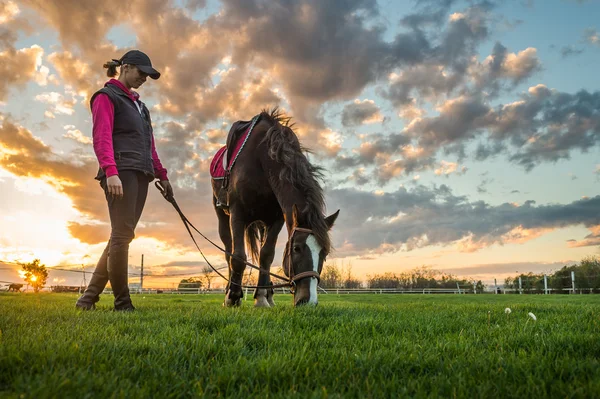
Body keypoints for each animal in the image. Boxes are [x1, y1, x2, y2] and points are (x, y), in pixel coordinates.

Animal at [212, 108, 340, 308]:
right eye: (296, 248)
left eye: (324, 253)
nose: (308, 301)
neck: (262, 157)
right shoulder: (237, 213)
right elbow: (238, 256)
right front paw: (232, 297)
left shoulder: (277, 219)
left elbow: (267, 255)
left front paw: (261, 298)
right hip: (222, 215)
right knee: (228, 250)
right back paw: (230, 292)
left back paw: (268, 293)